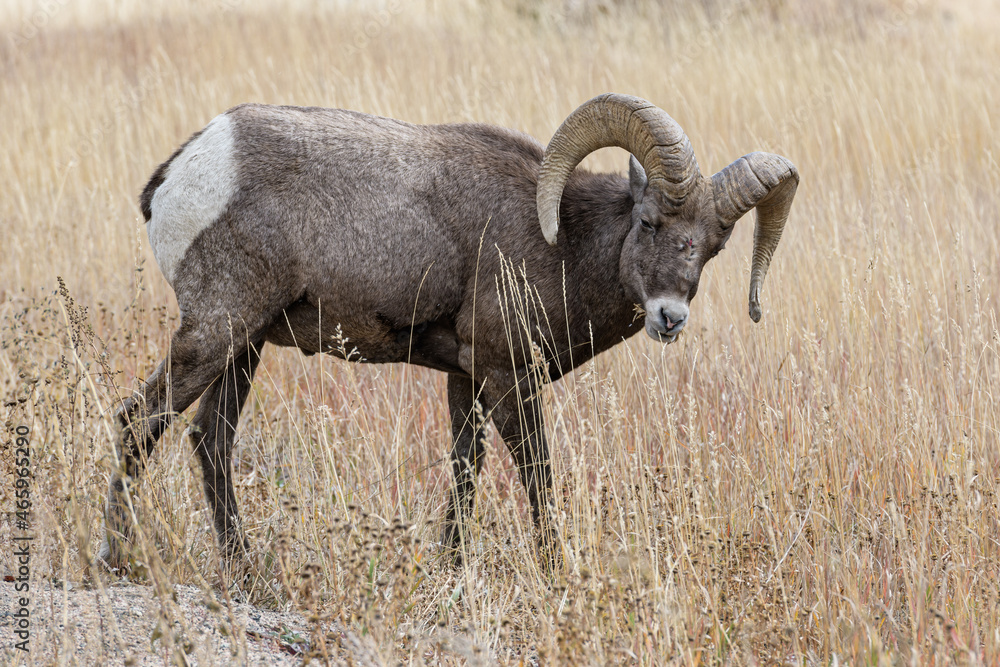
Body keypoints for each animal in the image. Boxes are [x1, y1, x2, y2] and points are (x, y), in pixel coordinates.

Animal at [99, 93, 798, 576]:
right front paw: (554, 573)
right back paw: (117, 559)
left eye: (713, 246)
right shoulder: (506, 377)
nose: (669, 318)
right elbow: (536, 472)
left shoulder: (466, 377)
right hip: (214, 333)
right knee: (139, 420)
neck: (561, 245)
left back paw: (247, 573)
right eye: (649, 221)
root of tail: (182, 172)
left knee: (209, 441)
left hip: (244, 349)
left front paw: (450, 568)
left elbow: (466, 471)